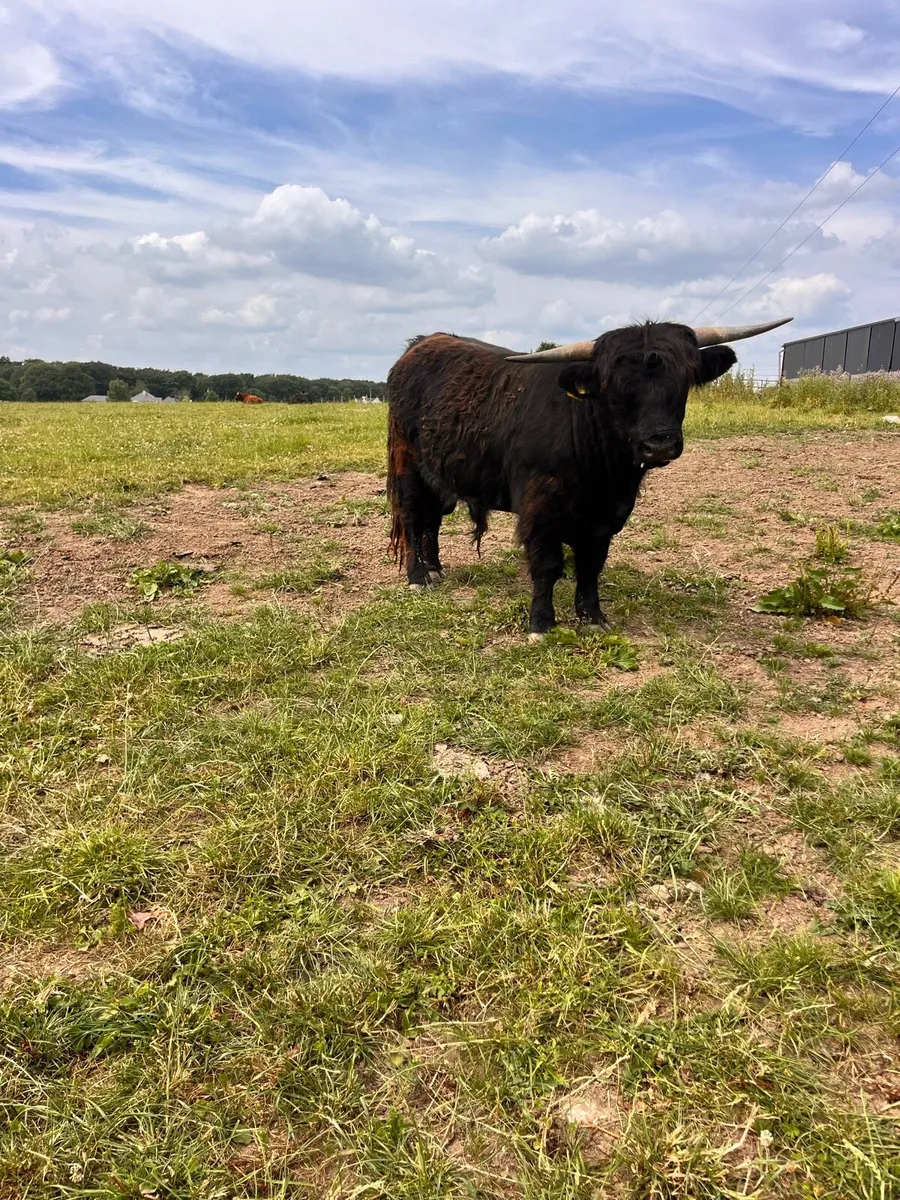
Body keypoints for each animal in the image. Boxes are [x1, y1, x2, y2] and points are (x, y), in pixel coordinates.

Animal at [386, 318, 791, 638]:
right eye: (615, 388)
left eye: (684, 380)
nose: (658, 443)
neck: (604, 475)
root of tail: (422, 343)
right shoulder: (540, 508)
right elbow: (547, 565)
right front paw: (542, 624)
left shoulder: (607, 515)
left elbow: (592, 564)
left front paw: (593, 617)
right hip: (407, 464)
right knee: (413, 516)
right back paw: (418, 576)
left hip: (441, 473)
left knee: (433, 519)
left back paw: (435, 568)